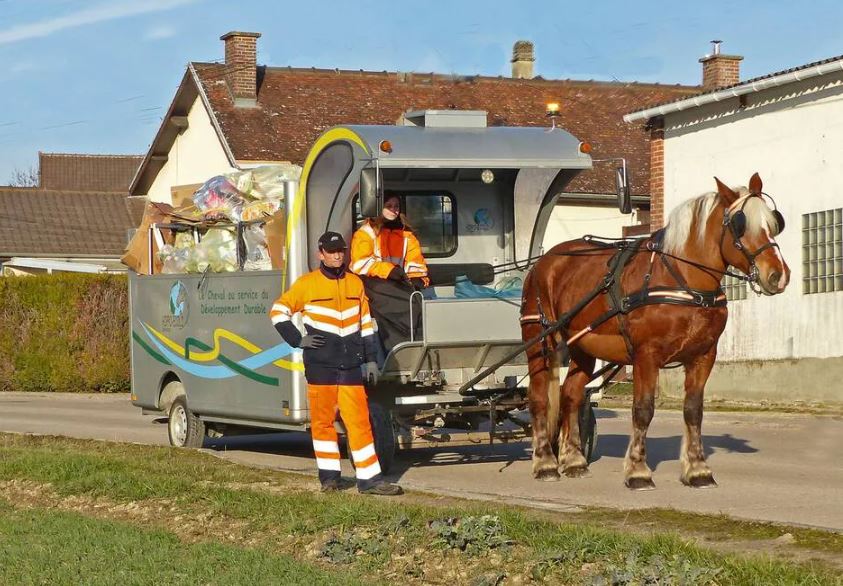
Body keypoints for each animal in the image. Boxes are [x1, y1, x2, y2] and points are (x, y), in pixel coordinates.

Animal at [520, 173, 792, 488]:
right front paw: (638, 471)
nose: (778, 275)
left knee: (570, 396)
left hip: (581, 349)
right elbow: (643, 409)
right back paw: (545, 463)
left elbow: (693, 411)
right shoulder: (646, 356)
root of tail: (544, 262)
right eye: (740, 224)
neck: (683, 281)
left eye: (773, 222)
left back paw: (574, 460)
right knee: (539, 398)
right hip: (539, 341)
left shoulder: (703, 356)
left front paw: (698, 469)